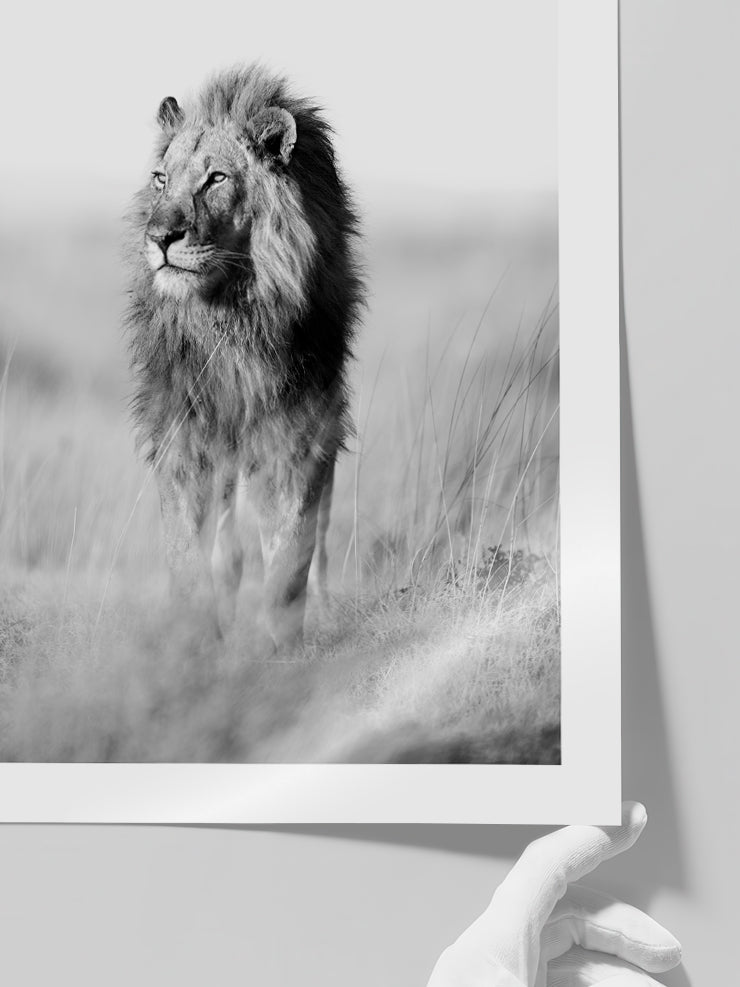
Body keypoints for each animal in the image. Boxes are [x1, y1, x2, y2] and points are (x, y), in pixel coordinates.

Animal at [125, 65, 363, 650]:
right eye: (161, 179)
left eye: (216, 179)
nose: (160, 237)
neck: (230, 317)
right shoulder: (180, 433)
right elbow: (188, 553)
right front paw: (197, 643)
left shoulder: (301, 433)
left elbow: (292, 556)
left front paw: (280, 646)